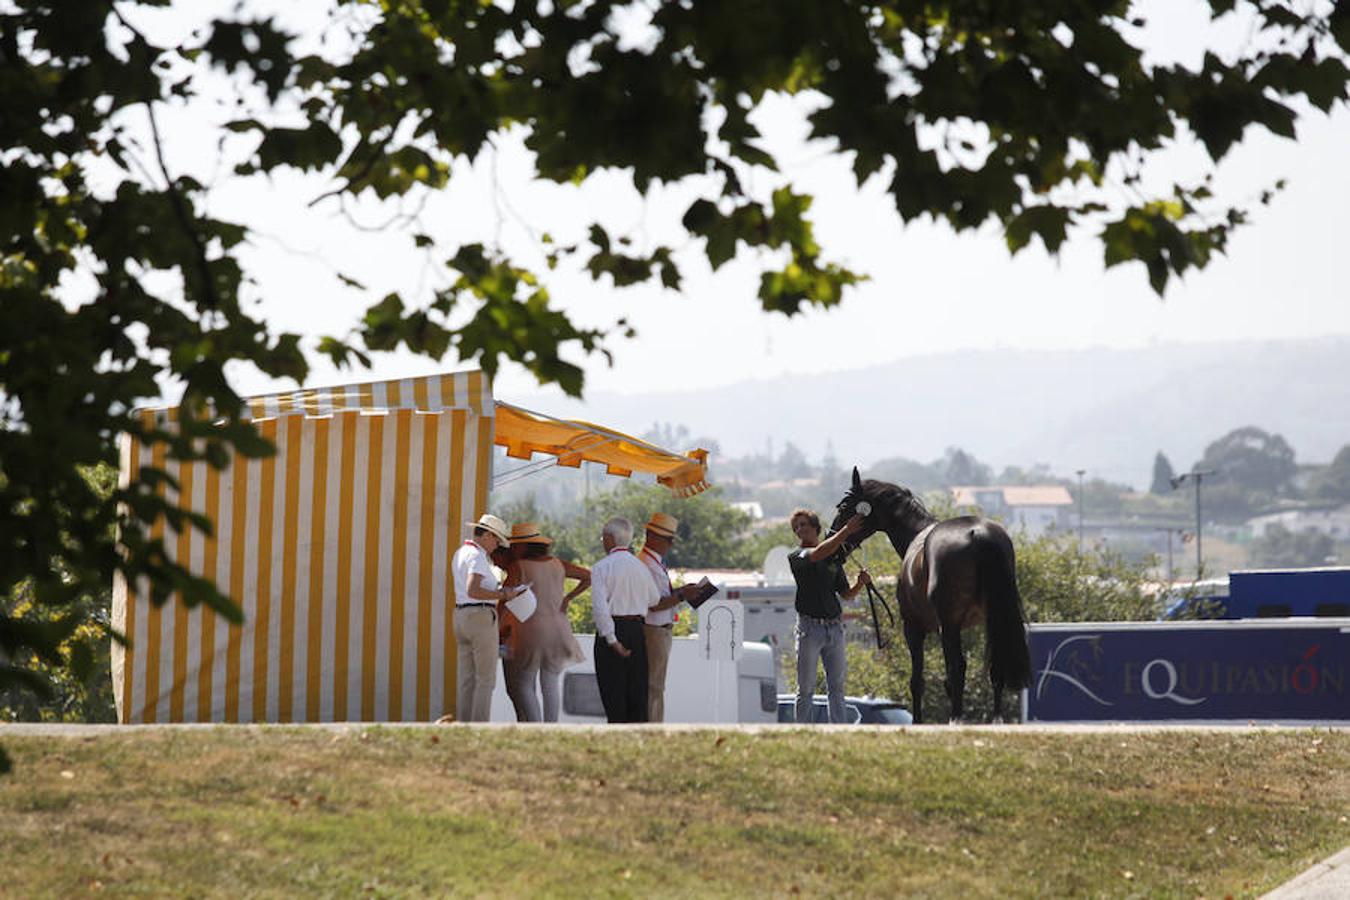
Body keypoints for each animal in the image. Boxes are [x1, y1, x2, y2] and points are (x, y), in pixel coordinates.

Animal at [820, 469, 1031, 723]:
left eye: (843, 507)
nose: (830, 543)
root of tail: (978, 534)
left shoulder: (914, 628)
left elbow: (917, 681)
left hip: (949, 626)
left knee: (958, 669)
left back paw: (956, 719)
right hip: (993, 620)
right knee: (994, 668)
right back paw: (995, 720)